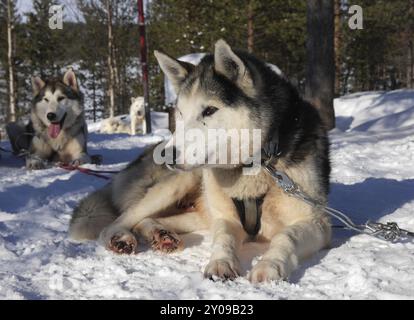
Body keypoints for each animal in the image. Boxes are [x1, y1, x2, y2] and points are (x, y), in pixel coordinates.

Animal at [69, 39, 332, 282]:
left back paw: (160, 234)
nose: (167, 155)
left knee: (146, 219)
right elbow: (224, 238)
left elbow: (286, 236)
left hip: (198, 213)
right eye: (180, 113)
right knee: (116, 223)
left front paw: (270, 265)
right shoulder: (226, 218)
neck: (256, 164)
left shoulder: (317, 223)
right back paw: (122, 238)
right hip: (176, 185)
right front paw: (221, 262)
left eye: (209, 110)